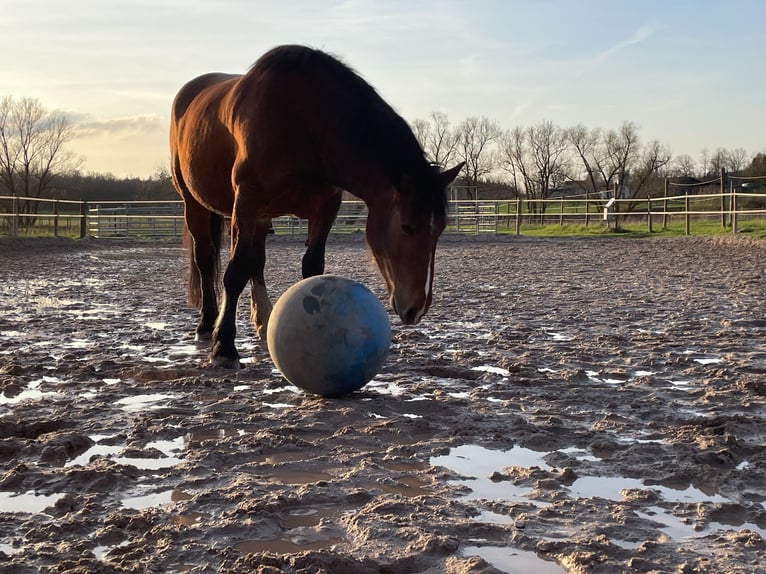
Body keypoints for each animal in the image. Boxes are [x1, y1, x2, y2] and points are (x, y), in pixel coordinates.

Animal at [171, 46, 464, 368]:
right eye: (406, 226)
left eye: (439, 230)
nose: (417, 307)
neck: (303, 123)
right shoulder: (246, 202)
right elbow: (235, 271)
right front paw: (224, 346)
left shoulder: (325, 208)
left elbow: (311, 268)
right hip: (195, 205)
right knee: (206, 258)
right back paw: (207, 324)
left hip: (261, 217)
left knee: (256, 262)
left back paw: (263, 320)